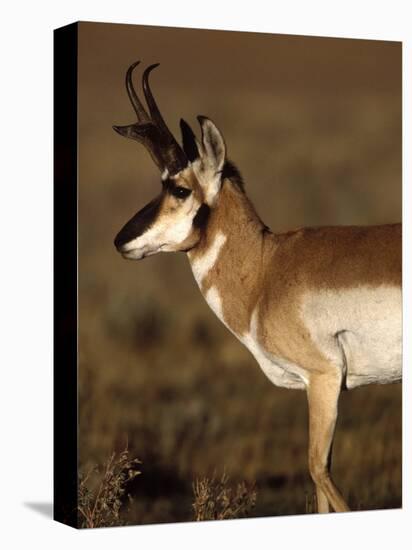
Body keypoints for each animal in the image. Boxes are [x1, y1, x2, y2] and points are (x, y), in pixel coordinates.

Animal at [112, 62, 402, 516]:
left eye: (179, 188)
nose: (120, 241)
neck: (268, 266)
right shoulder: (317, 388)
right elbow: (321, 483)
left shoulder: (323, 378)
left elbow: (318, 470)